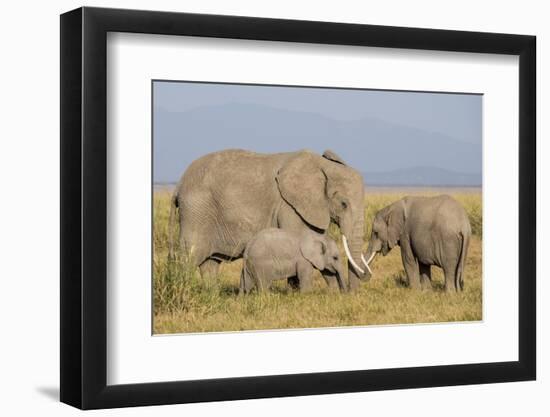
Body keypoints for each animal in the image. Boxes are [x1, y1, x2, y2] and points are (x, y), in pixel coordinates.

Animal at [169, 149, 370, 290]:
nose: (349, 293)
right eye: (344, 204)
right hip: (196, 212)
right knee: (190, 257)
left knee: (209, 263)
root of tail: (178, 186)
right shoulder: (289, 207)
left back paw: (212, 294)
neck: (322, 166)